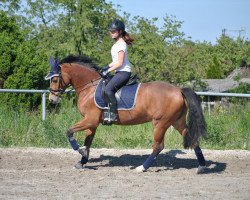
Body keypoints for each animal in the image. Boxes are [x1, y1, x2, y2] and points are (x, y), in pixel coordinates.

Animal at [46, 55, 208, 173]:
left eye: (55, 79)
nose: (52, 100)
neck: (89, 87)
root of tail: (178, 90)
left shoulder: (90, 120)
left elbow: (69, 132)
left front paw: (79, 150)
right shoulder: (92, 123)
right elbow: (88, 142)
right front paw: (82, 160)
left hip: (160, 123)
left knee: (158, 146)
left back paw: (142, 167)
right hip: (176, 121)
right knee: (193, 139)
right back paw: (201, 166)